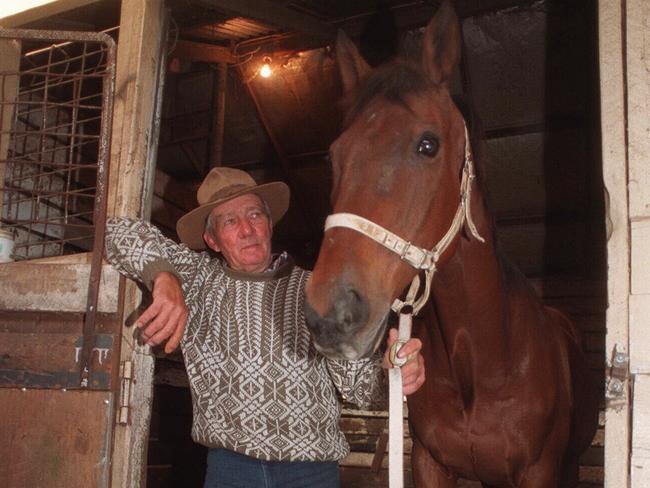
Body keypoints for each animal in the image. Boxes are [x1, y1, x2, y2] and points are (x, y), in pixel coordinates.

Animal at [304, 1, 596, 486]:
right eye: (333, 155)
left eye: (428, 145)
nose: (331, 315)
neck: (482, 360)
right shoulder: (430, 462)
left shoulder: (541, 470)